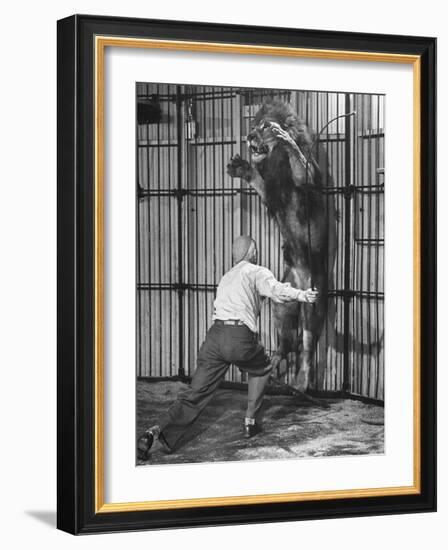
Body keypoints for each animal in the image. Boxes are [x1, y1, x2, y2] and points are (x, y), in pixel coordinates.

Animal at [228, 99, 336, 392]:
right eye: (254, 126)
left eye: (264, 127)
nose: (249, 136)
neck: (276, 161)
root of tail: (299, 278)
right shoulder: (271, 192)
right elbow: (258, 181)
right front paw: (243, 169)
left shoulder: (309, 177)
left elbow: (301, 164)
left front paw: (285, 138)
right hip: (283, 303)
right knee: (285, 344)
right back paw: (273, 368)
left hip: (312, 300)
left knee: (307, 346)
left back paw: (300, 383)